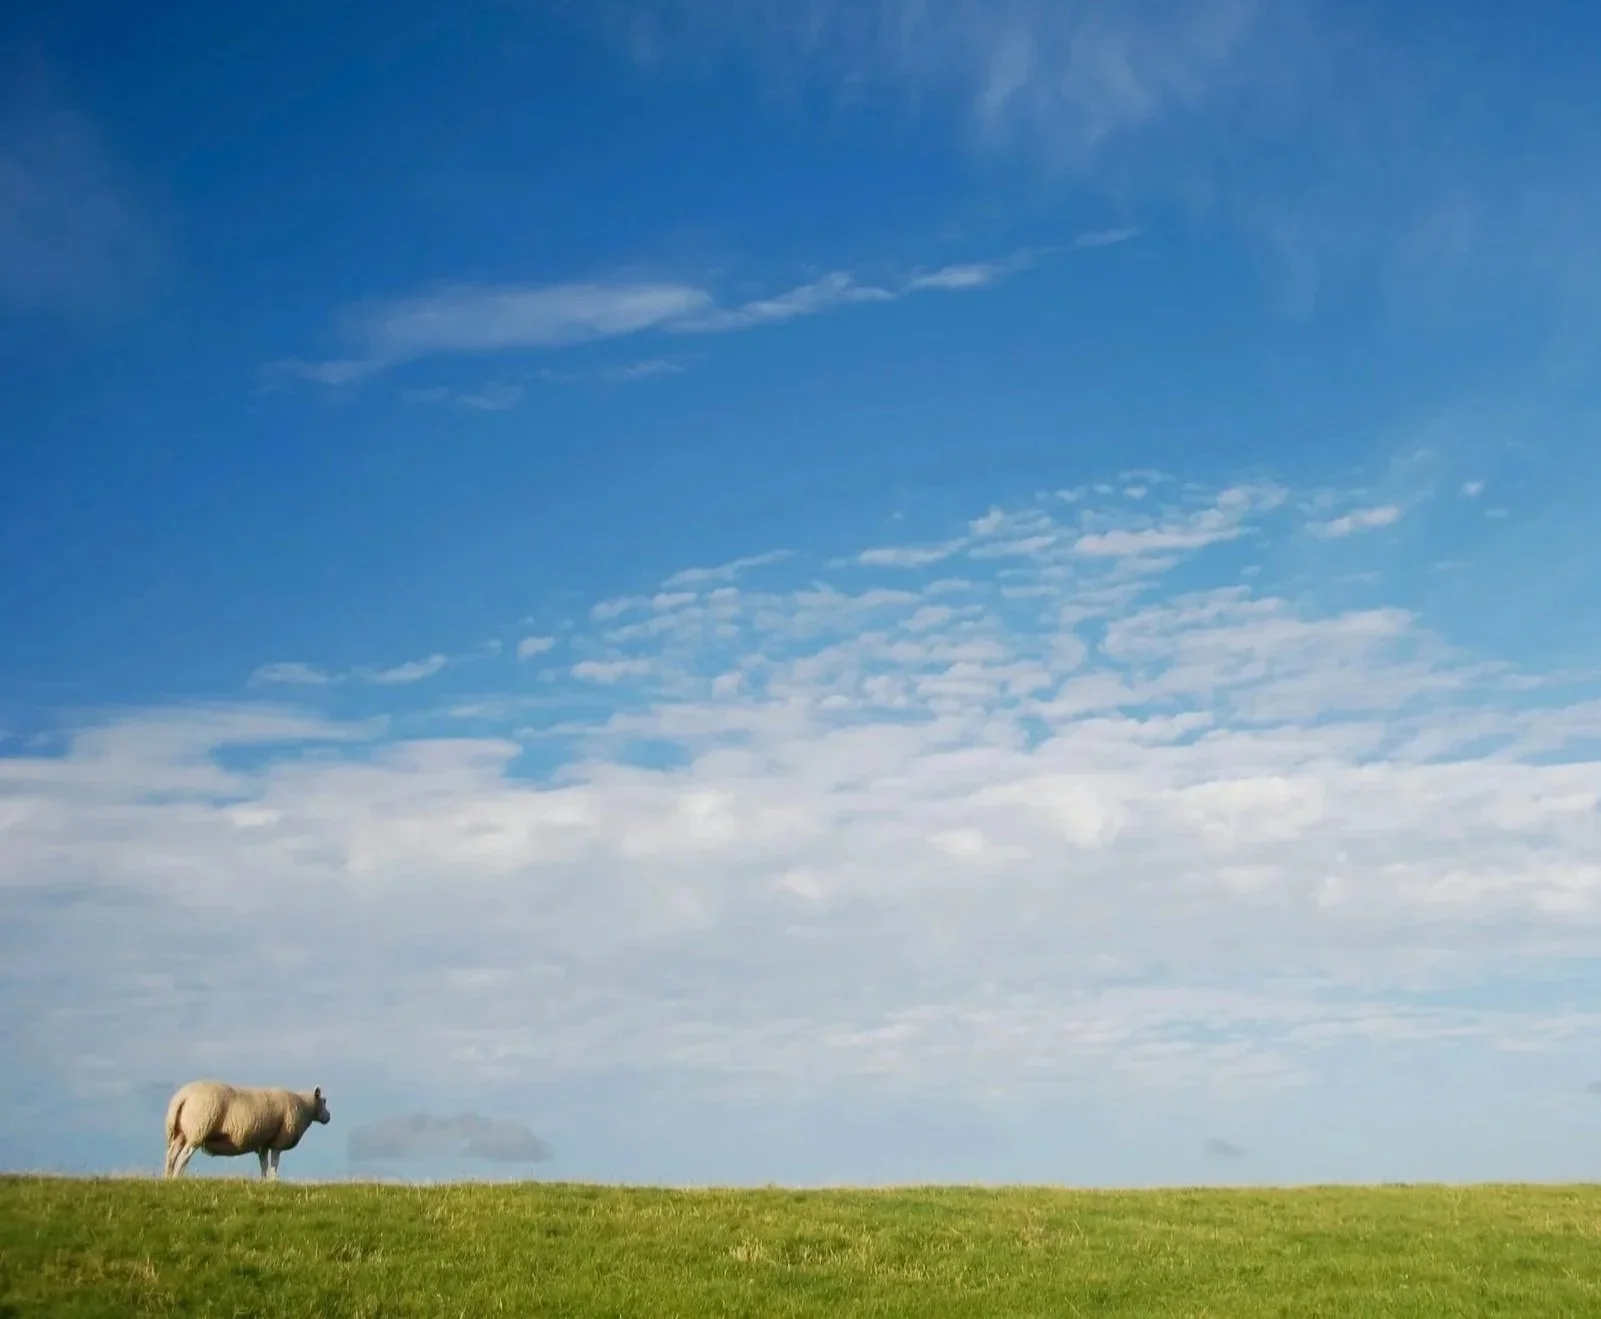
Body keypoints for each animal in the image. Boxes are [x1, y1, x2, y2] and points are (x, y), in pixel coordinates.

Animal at [164, 1079, 331, 1180]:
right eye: (324, 1101)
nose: (329, 1117)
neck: (304, 1106)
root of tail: (182, 1097)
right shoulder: (278, 1141)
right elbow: (274, 1164)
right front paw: (273, 1181)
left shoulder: (263, 1143)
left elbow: (264, 1164)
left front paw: (263, 1181)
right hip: (199, 1128)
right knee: (184, 1156)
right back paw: (177, 1177)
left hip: (180, 1133)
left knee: (172, 1155)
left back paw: (168, 1177)